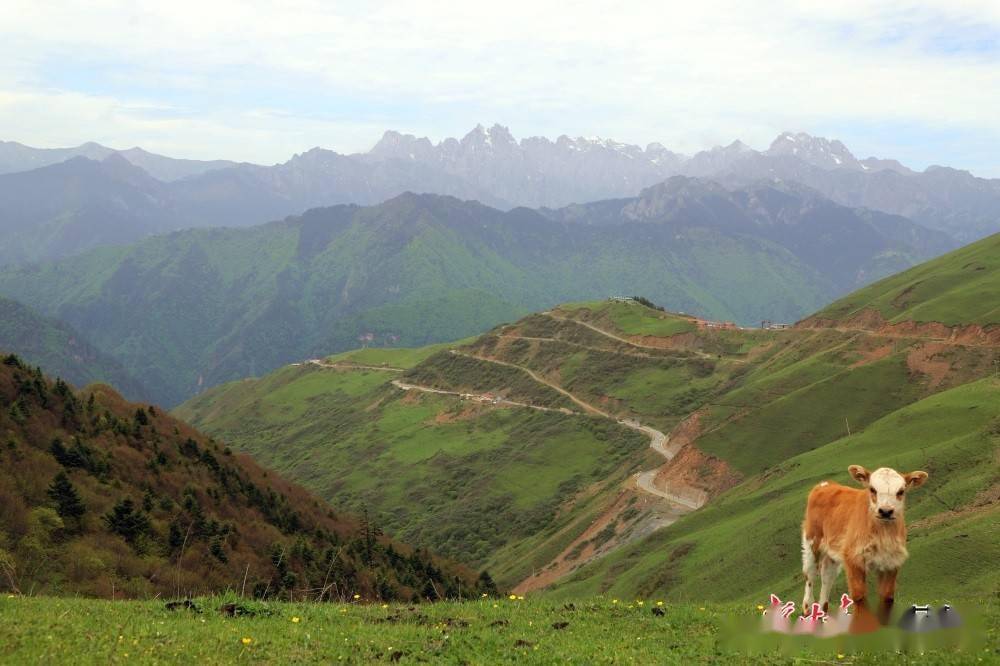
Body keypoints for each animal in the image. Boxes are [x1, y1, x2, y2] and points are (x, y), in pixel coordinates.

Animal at [800, 464, 924, 616]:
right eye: (872, 489)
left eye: (901, 491)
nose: (885, 511)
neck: (882, 535)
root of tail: (825, 484)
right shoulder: (853, 558)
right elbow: (859, 596)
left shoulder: (892, 562)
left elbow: (887, 596)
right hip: (812, 541)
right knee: (810, 574)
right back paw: (807, 608)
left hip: (832, 552)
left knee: (827, 577)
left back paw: (822, 611)